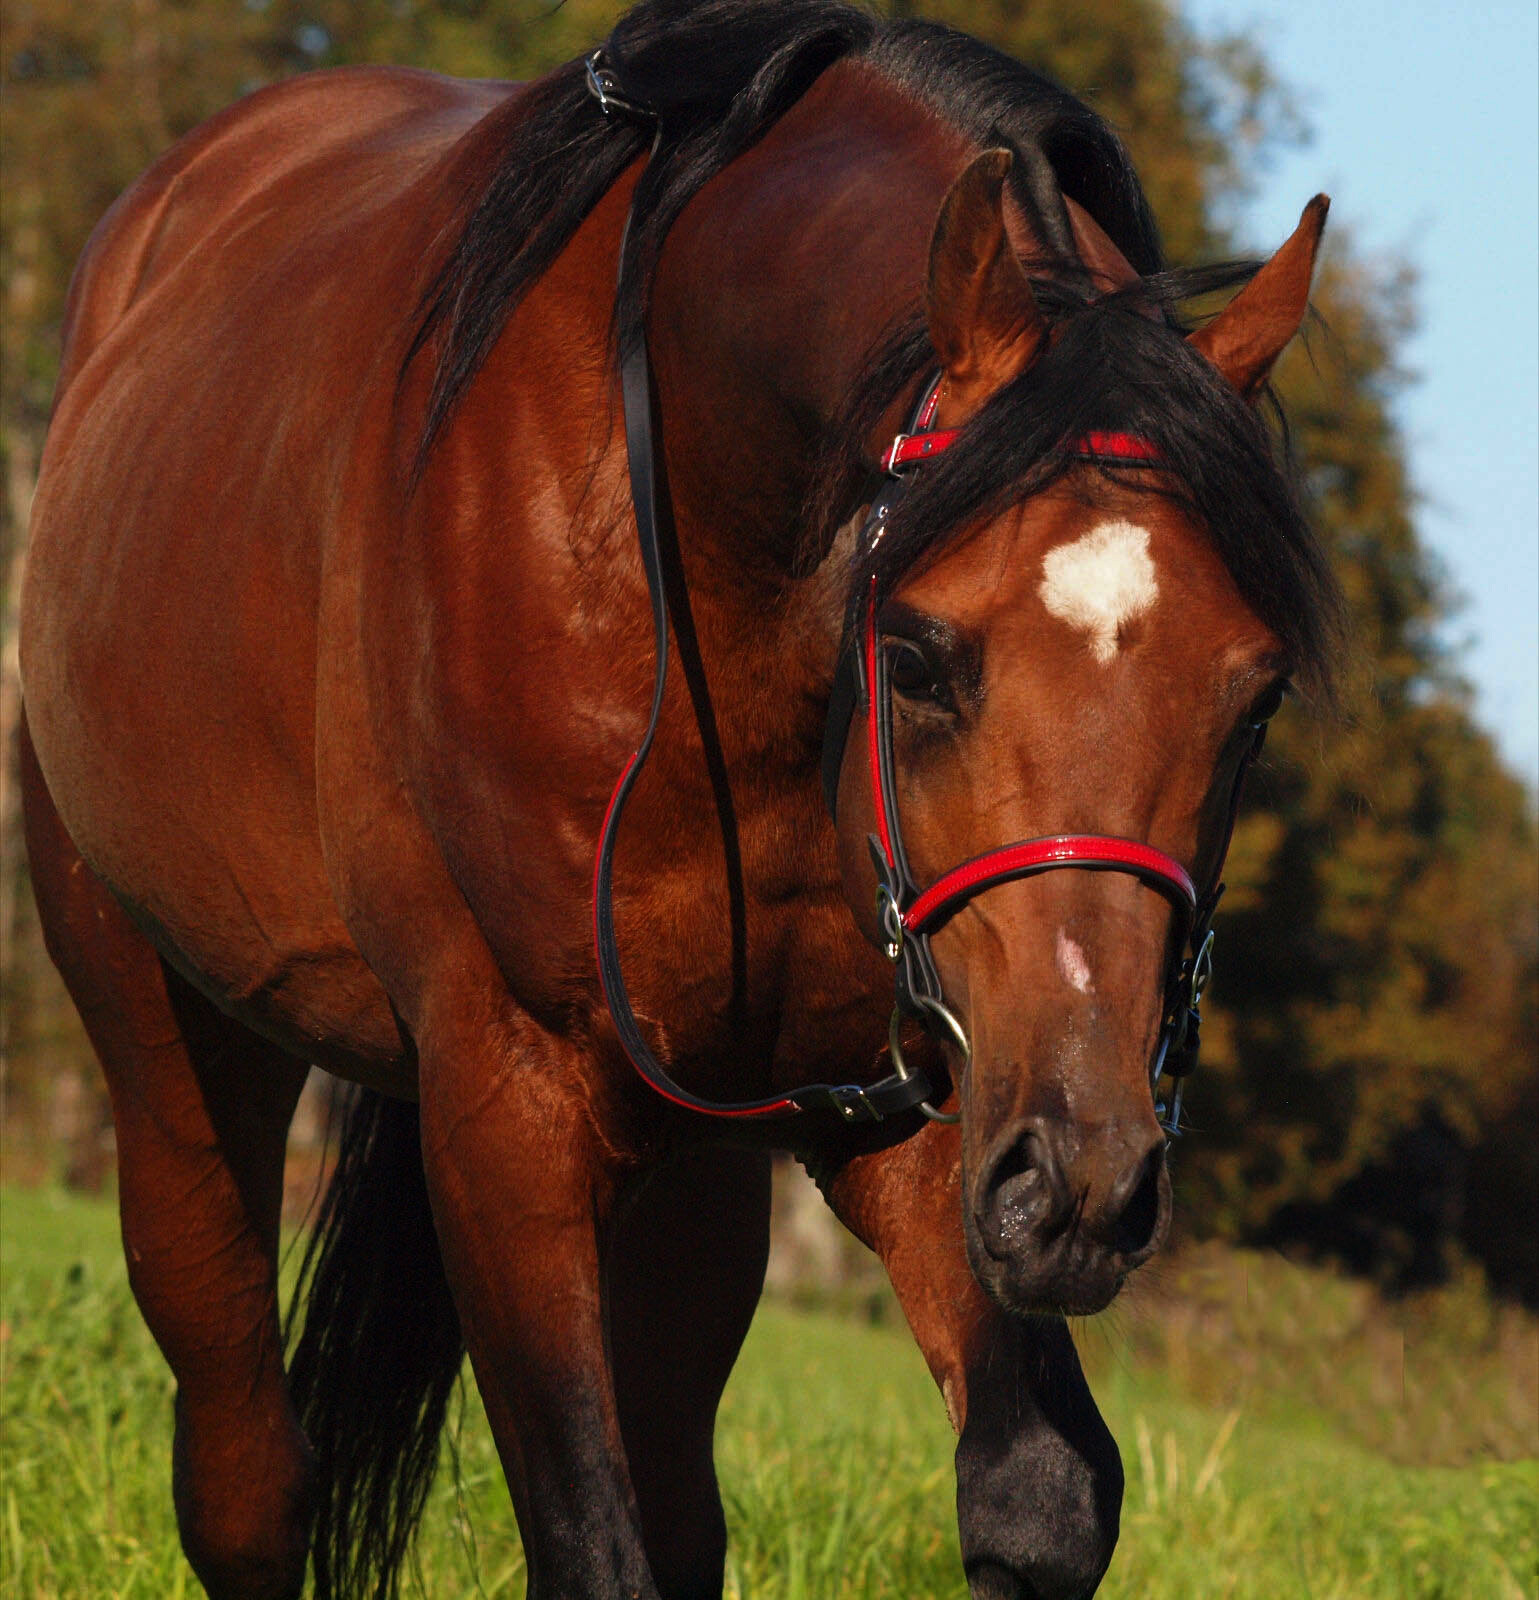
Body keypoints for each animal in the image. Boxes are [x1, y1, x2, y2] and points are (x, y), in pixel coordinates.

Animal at [17, 3, 1341, 1596]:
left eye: (1255, 698)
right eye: (916, 654)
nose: (1087, 1182)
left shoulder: (910, 1082)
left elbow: (1035, 1497)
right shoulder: (507, 1099)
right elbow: (592, 1540)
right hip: (166, 1025)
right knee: (244, 1474)